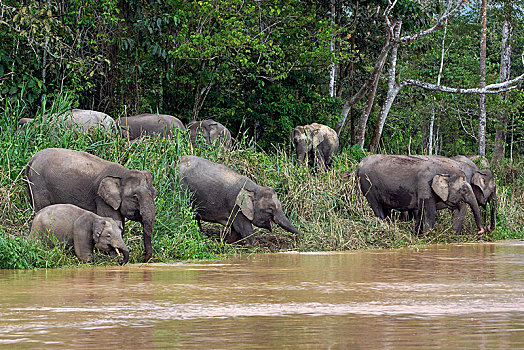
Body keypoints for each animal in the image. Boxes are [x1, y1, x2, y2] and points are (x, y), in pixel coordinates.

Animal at [25, 147, 156, 260]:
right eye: (135, 198)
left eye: (154, 194)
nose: (143, 258)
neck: (123, 173)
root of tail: (32, 159)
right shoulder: (101, 198)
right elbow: (111, 217)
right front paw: (113, 255)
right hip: (38, 184)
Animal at [354, 155, 486, 235]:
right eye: (463, 190)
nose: (480, 232)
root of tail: (359, 165)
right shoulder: (424, 186)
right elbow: (429, 212)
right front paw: (428, 235)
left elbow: (422, 213)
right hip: (368, 186)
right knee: (377, 208)